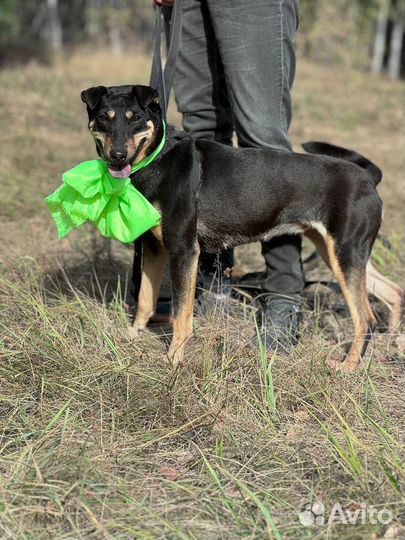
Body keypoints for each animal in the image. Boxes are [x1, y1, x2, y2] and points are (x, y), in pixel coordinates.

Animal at [80, 83, 402, 372]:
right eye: (104, 118)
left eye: (135, 117)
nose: (117, 155)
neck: (158, 158)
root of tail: (368, 178)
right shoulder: (153, 246)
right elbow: (145, 301)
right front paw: (131, 338)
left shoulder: (184, 250)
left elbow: (180, 313)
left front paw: (173, 359)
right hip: (341, 252)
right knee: (394, 292)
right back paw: (394, 342)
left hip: (344, 253)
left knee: (365, 318)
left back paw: (348, 366)